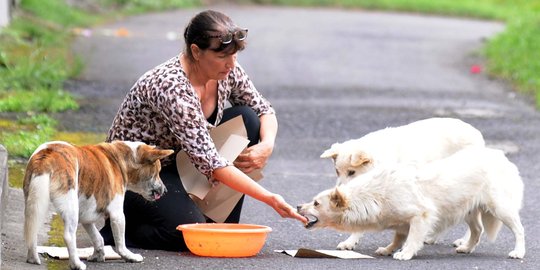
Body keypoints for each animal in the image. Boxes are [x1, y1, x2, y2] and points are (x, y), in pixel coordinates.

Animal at [298, 147, 524, 260]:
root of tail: (502, 158)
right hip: (467, 209)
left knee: (519, 229)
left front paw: (405, 254)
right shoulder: (401, 222)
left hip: (499, 208)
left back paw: (519, 252)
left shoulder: (420, 215)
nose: (299, 207)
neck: (375, 195)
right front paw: (388, 249)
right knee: (477, 230)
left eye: (316, 203)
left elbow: (413, 239)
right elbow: (398, 237)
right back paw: (466, 248)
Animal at [320, 116, 486, 249]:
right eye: (337, 171)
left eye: (352, 172)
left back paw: (464, 241)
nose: (338, 192)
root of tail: (476, 133)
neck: (379, 162)